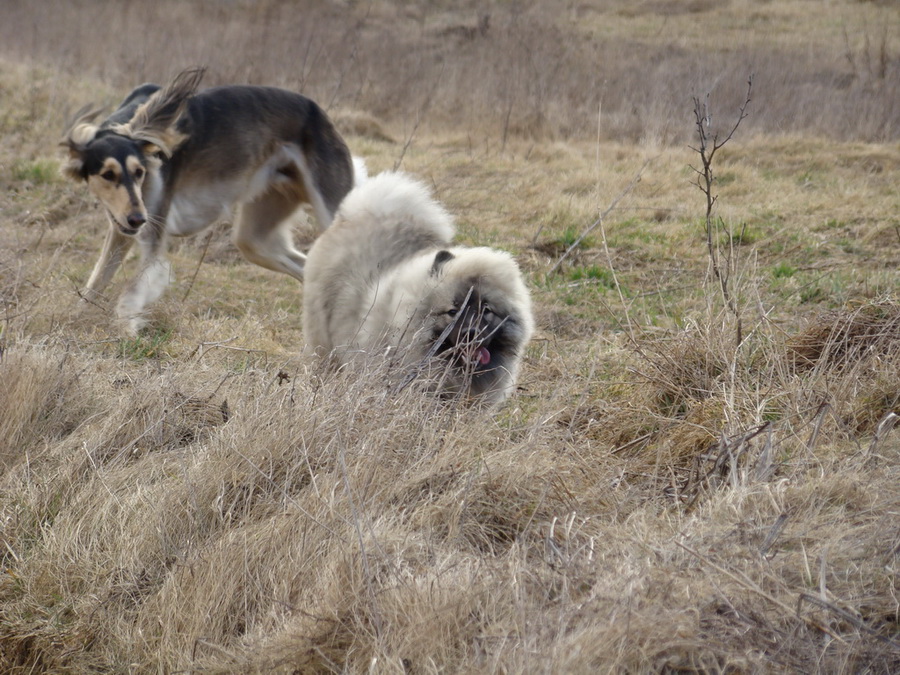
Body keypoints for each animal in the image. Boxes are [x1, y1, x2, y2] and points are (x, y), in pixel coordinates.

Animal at [61, 68, 358, 332]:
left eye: (139, 172)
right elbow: (95, 282)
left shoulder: (152, 236)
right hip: (256, 237)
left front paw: (127, 330)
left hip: (333, 213)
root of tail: (321, 115)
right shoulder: (121, 229)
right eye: (108, 175)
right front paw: (73, 321)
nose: (138, 219)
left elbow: (132, 293)